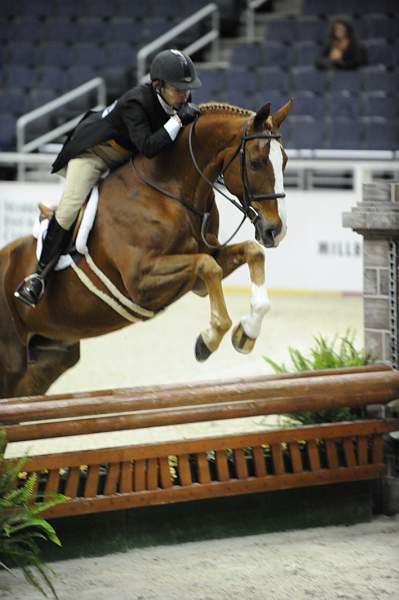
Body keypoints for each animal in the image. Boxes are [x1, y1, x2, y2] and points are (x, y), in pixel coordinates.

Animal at [0, 98, 292, 398]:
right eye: (256, 163)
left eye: (284, 161)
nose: (275, 230)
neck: (169, 189)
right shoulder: (140, 281)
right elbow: (207, 266)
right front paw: (207, 340)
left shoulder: (204, 261)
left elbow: (251, 252)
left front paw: (246, 333)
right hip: (12, 358)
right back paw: (31, 287)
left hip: (52, 355)